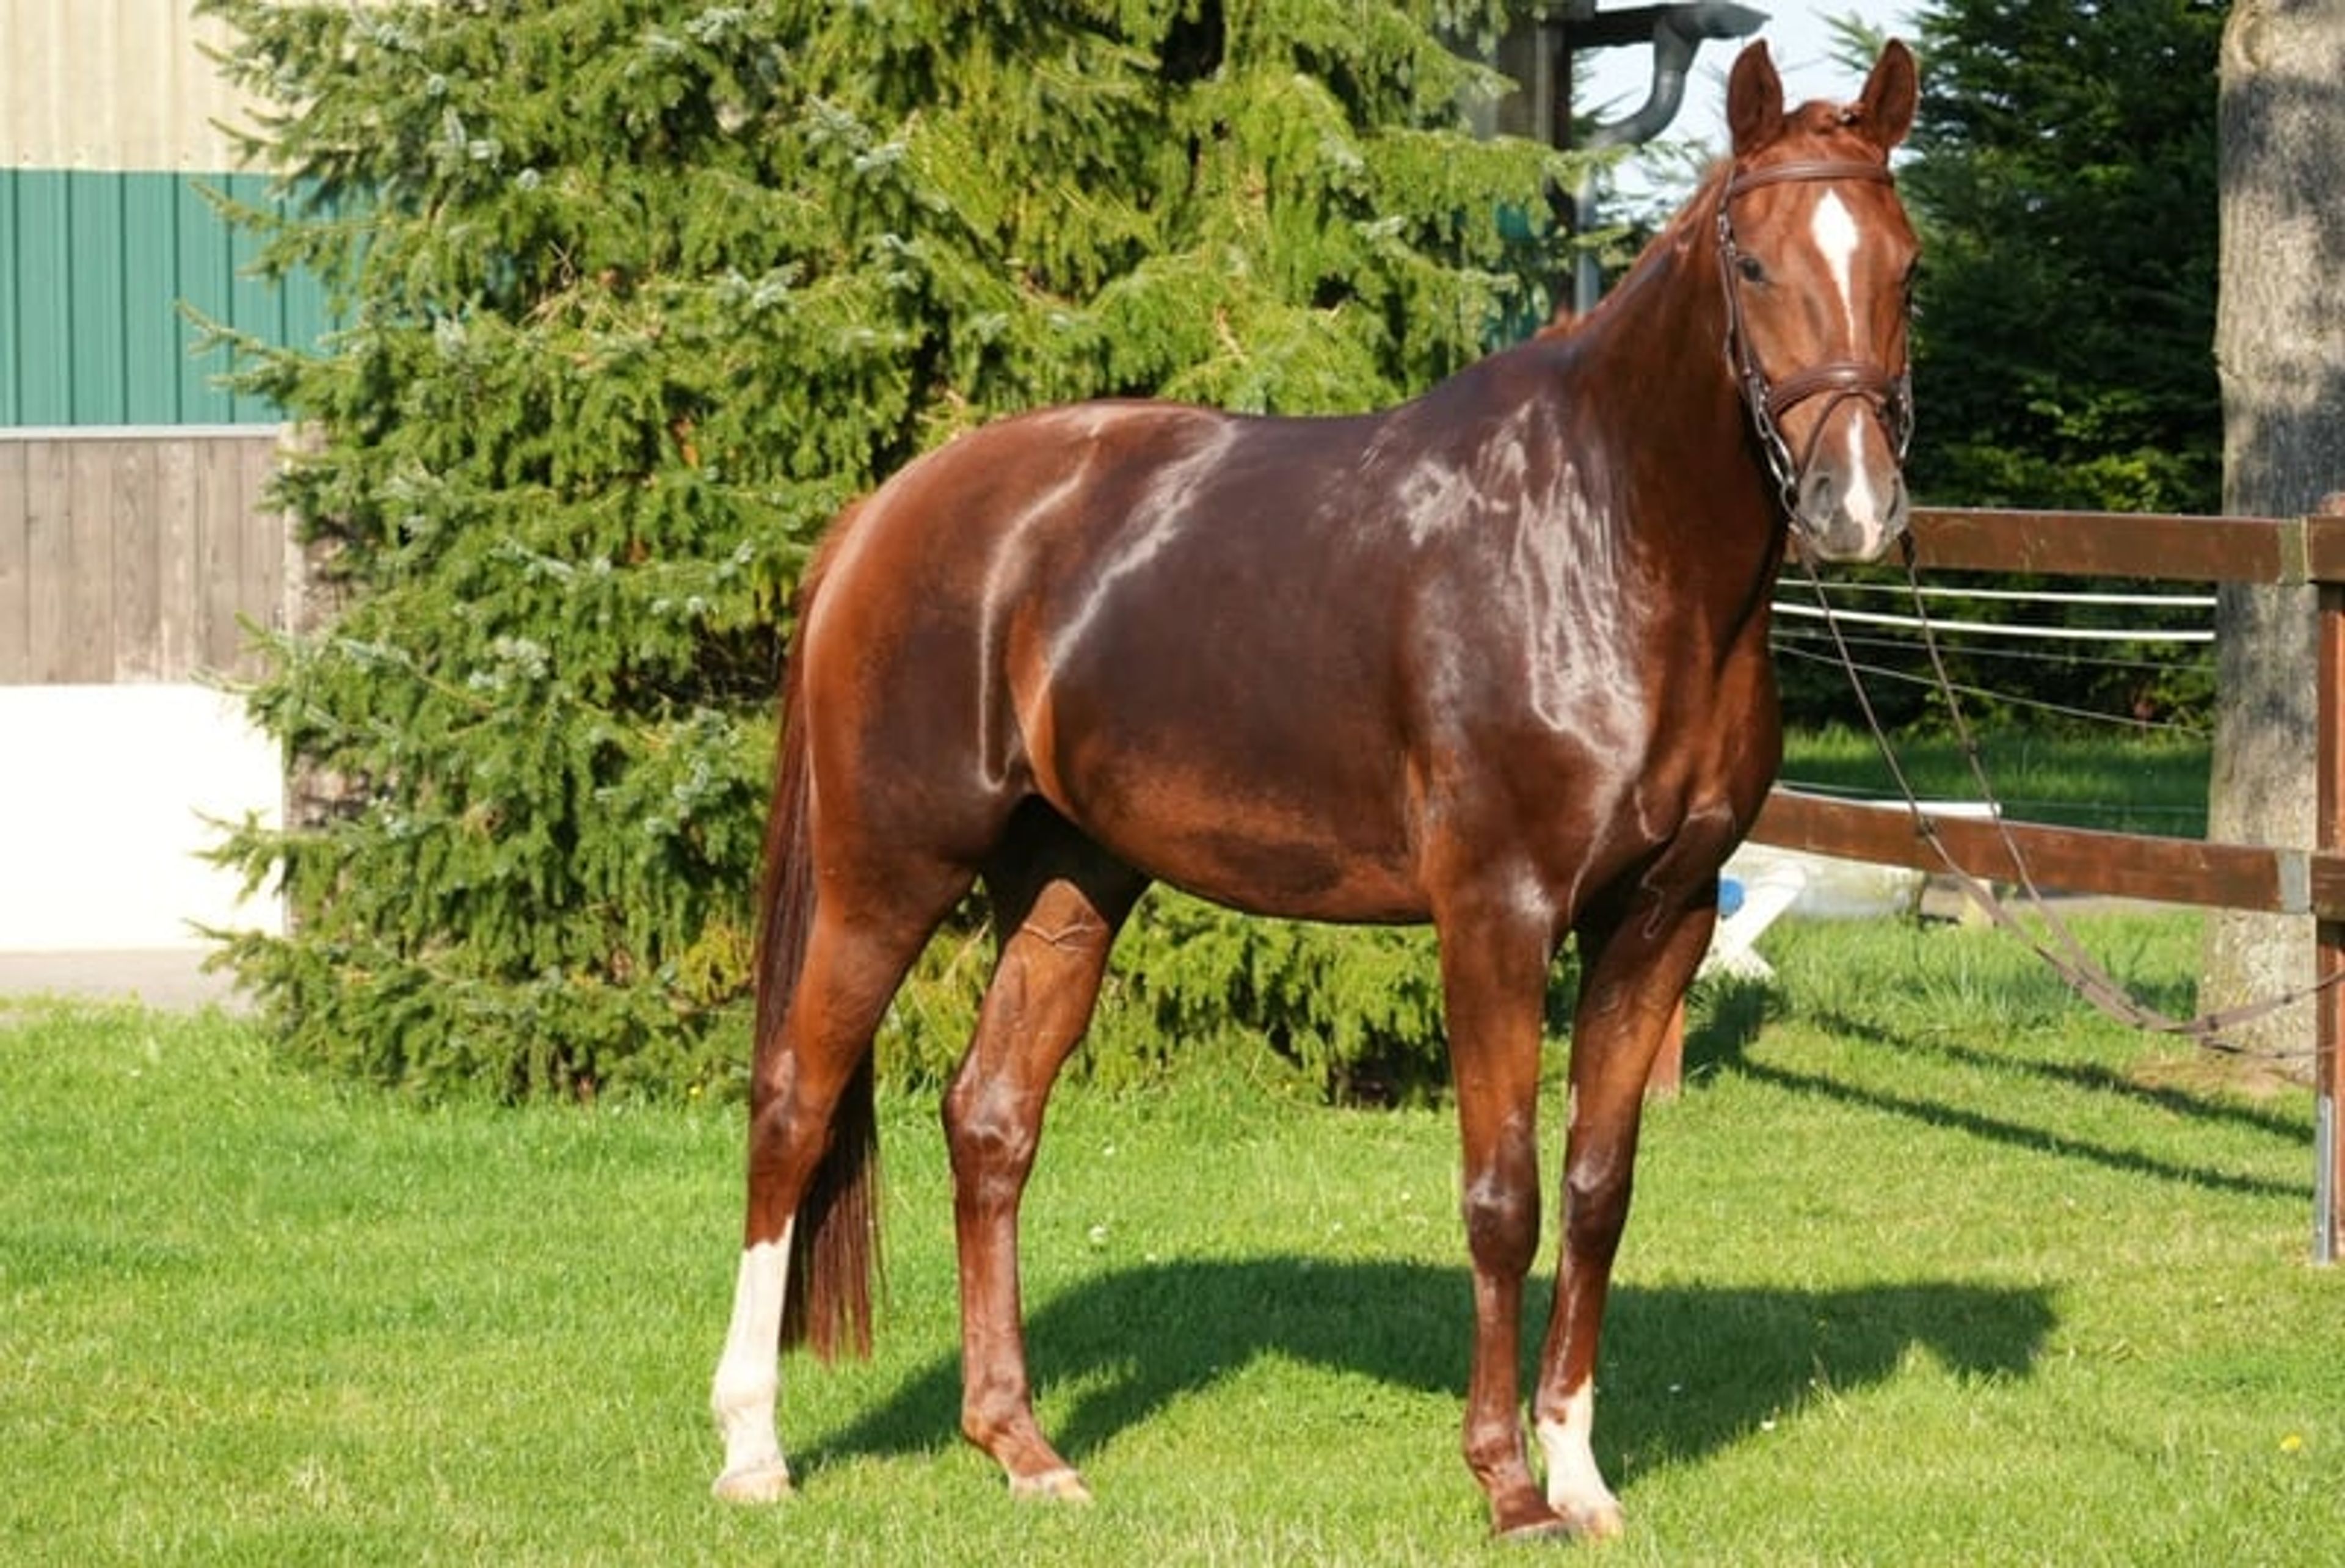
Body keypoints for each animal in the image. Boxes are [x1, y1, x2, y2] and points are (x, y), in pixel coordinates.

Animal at [710, 39, 1919, 1542]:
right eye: (1751, 263)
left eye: (1907, 263)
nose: (1855, 503)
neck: (1601, 545)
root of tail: (886, 513)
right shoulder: (1497, 916)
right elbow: (1504, 1194)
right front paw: (1506, 1483)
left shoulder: (1666, 917)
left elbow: (1597, 1190)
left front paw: (1581, 1474)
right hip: (891, 871)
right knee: (793, 1104)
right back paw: (754, 1448)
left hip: (1068, 881)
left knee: (990, 1120)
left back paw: (1023, 1447)